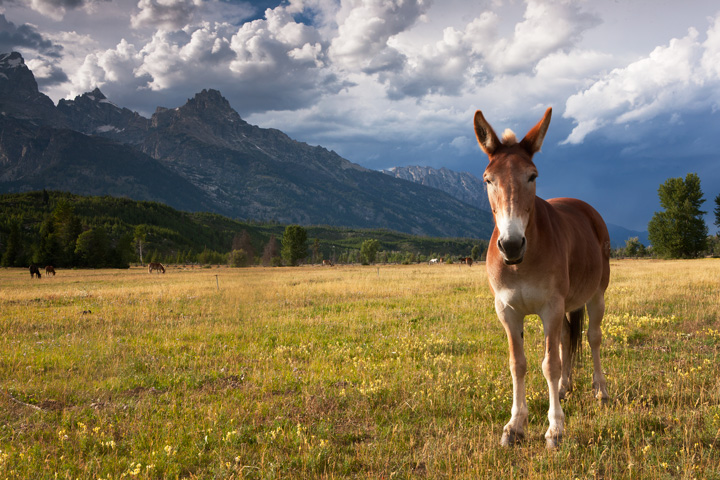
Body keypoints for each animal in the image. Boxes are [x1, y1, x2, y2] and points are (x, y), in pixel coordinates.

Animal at [476, 107, 612, 448]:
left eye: (532, 176)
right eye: (488, 180)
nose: (511, 244)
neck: (521, 264)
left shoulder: (550, 307)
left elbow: (549, 364)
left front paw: (555, 429)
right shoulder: (508, 312)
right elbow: (519, 364)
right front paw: (515, 426)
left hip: (596, 296)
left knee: (592, 338)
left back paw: (600, 391)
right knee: (565, 339)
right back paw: (564, 388)